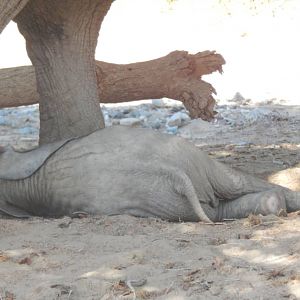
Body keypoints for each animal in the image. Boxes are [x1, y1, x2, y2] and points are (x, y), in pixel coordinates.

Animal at [1, 125, 298, 221]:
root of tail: (169, 171)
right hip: (166, 195)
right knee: (220, 204)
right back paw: (276, 206)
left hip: (182, 155)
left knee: (231, 184)